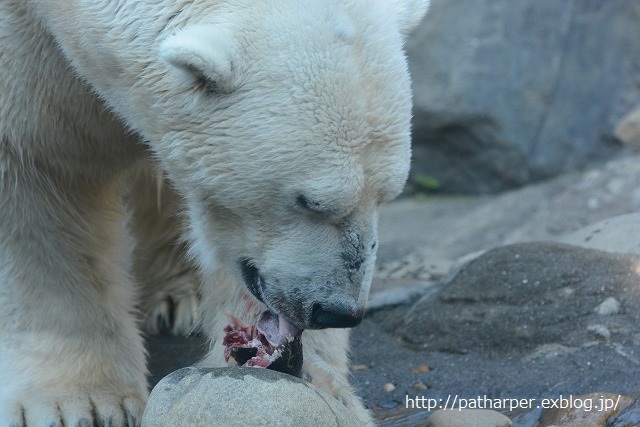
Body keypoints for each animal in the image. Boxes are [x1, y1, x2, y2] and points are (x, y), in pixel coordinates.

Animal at [1, 0, 430, 426]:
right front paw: (82, 405)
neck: (60, 10)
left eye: (385, 195)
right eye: (309, 201)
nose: (338, 311)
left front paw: (318, 387)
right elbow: (39, 180)